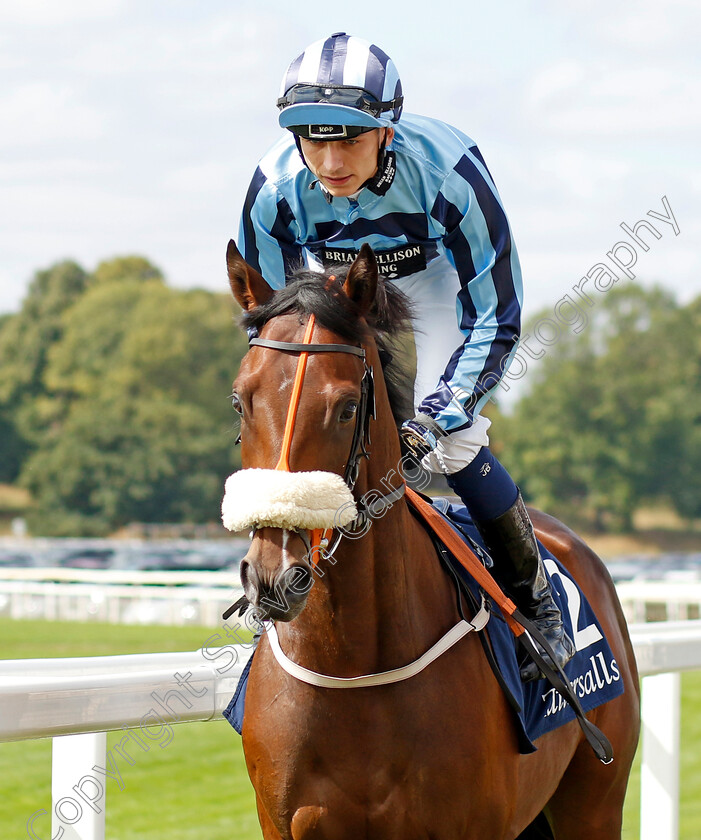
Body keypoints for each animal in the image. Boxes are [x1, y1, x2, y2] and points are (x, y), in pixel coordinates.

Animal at [223, 238, 640, 840]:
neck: (353, 666)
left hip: (595, 802)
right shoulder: (283, 824)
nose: (274, 574)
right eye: (240, 400)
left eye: (347, 407)